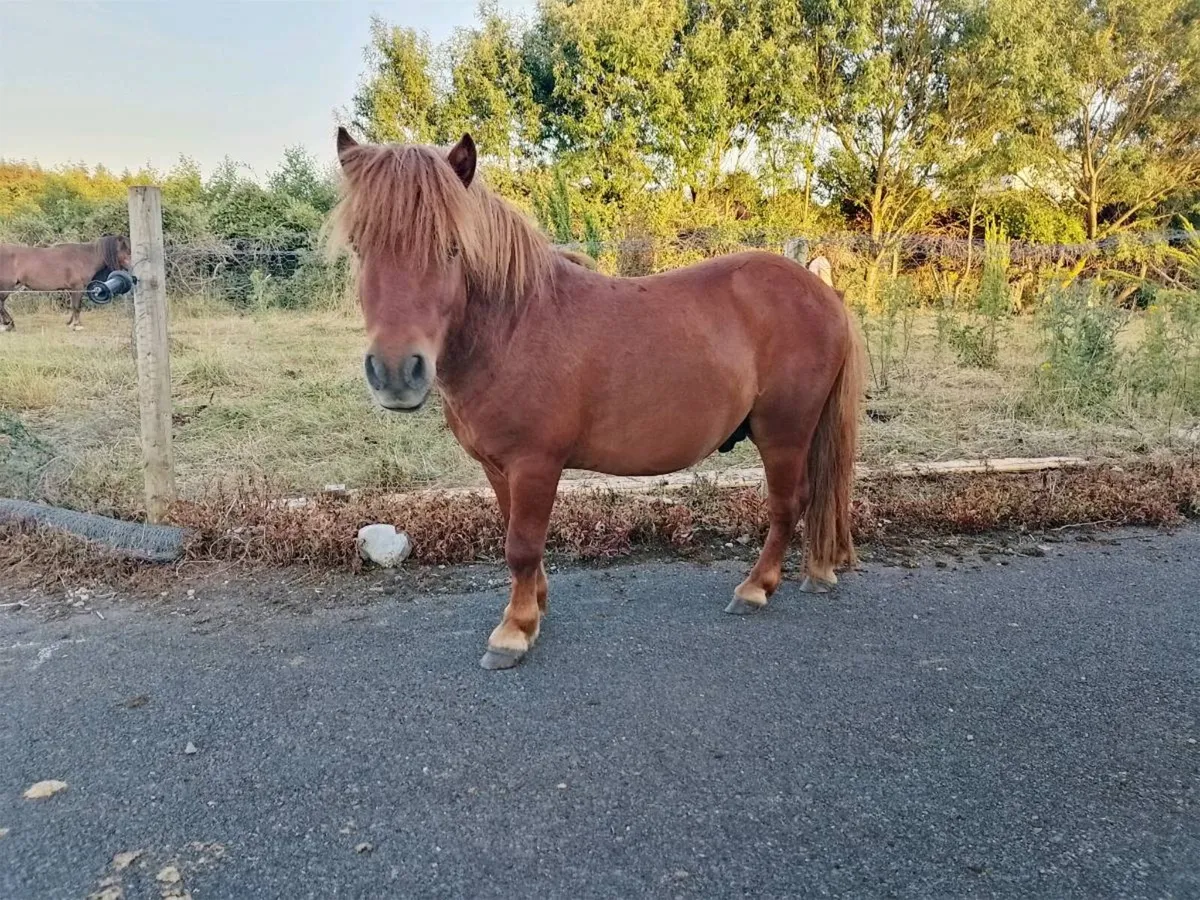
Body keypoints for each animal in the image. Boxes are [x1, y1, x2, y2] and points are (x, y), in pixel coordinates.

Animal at [0, 234, 131, 332]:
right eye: (126, 250)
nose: (131, 266)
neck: (83, 258)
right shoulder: (78, 287)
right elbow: (77, 306)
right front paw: (76, 325)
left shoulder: (71, 289)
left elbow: (74, 306)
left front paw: (71, 323)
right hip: (7, 286)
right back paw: (8, 324)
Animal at [332, 128, 863, 670]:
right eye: (358, 246)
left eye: (453, 247)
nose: (396, 373)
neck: (513, 327)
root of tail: (825, 293)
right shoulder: (498, 468)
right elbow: (516, 536)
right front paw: (534, 606)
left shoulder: (535, 465)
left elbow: (522, 545)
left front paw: (514, 632)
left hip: (783, 433)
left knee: (787, 504)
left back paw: (755, 588)